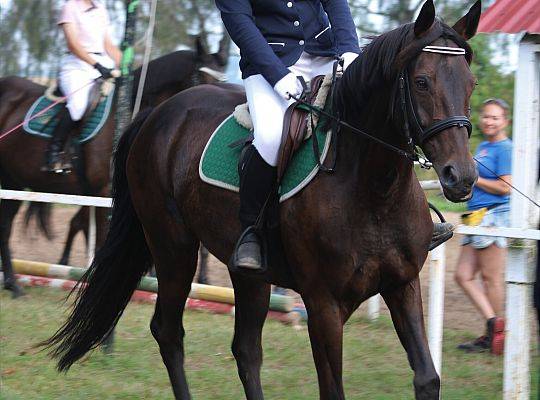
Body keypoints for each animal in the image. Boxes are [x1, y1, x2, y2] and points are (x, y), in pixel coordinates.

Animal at [0, 41, 228, 296]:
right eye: (202, 78)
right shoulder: (104, 192)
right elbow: (101, 240)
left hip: (14, 181)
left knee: (7, 228)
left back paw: (12, 282)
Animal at [44, 1, 478, 398]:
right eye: (421, 82)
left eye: (471, 83)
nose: (461, 177)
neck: (373, 190)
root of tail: (156, 114)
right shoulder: (323, 305)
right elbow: (332, 388)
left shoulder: (402, 285)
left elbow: (427, 379)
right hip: (173, 249)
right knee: (168, 332)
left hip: (248, 273)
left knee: (246, 351)